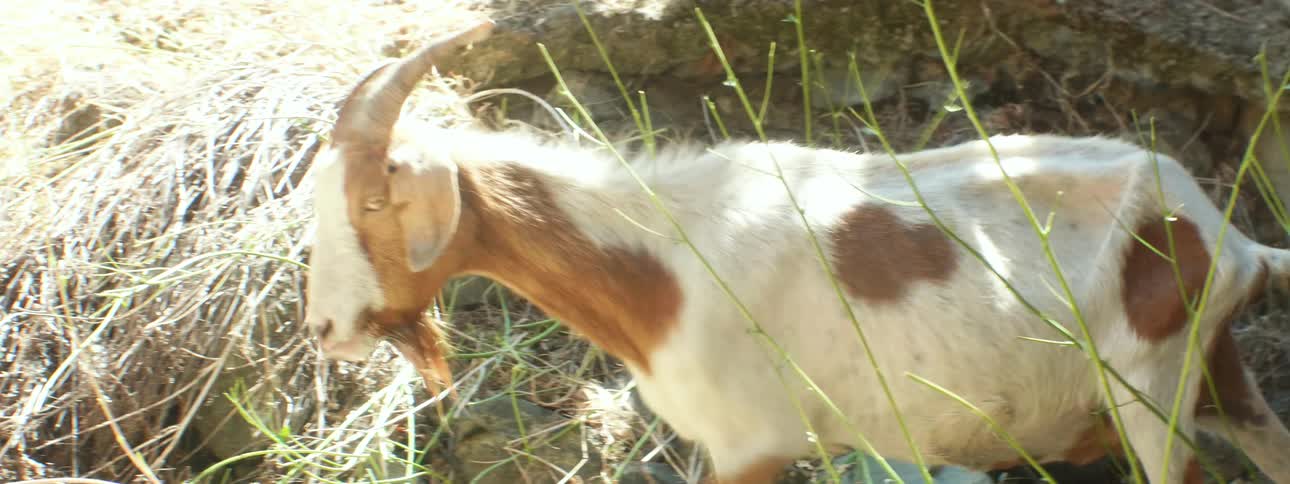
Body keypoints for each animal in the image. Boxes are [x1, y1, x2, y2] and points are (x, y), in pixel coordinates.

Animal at [301, 21, 1290, 483]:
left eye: (378, 197)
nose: (322, 330)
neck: (659, 267)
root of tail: (1223, 233)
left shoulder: (754, 442)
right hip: (1213, 372)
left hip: (1152, 390)